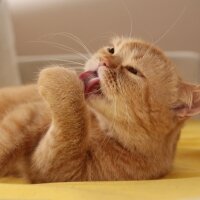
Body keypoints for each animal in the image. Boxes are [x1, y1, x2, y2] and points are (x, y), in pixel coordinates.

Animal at [0, 36, 200, 184]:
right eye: (111, 50)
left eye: (133, 70)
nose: (104, 61)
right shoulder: (28, 115)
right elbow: (8, 139)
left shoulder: (59, 168)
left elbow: (71, 131)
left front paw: (60, 78)